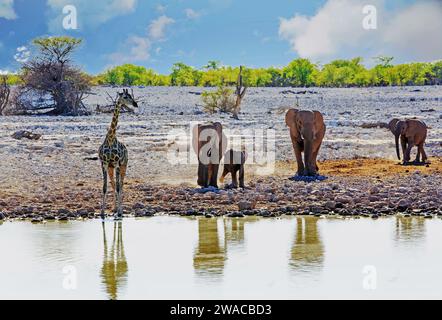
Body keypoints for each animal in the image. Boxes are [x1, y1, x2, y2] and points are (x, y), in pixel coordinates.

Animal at [99, 90, 137, 220]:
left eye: (131, 96)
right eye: (125, 97)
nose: (135, 104)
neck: (110, 139)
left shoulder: (116, 163)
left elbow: (118, 187)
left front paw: (118, 213)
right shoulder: (104, 164)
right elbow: (105, 188)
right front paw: (102, 214)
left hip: (123, 165)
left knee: (121, 184)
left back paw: (120, 211)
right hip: (112, 168)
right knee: (114, 184)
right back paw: (115, 209)